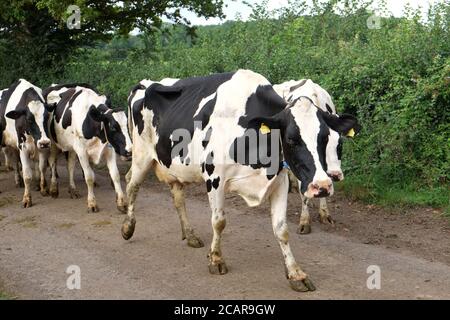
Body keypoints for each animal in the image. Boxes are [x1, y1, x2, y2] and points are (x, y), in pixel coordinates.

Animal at [43, 84, 133, 212]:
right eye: (113, 127)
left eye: (127, 126)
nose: (129, 152)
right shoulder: (81, 151)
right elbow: (89, 177)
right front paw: (92, 203)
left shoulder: (108, 149)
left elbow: (115, 174)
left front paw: (122, 203)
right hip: (53, 144)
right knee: (52, 162)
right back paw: (54, 189)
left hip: (72, 147)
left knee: (70, 165)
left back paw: (73, 189)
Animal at [272, 79, 356, 235]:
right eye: (293, 139)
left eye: (340, 144)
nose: (335, 175)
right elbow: (303, 193)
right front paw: (305, 221)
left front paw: (324, 214)